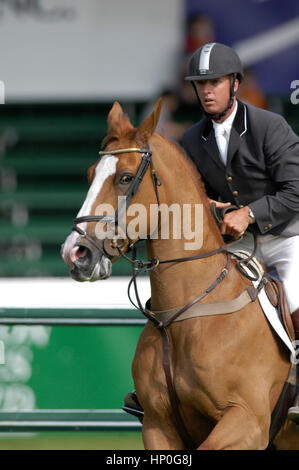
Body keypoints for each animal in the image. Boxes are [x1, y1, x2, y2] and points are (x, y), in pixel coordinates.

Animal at [62, 100, 298, 452]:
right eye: (91, 174)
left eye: (125, 178)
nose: (75, 253)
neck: (183, 315)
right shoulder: (158, 426)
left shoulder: (247, 422)